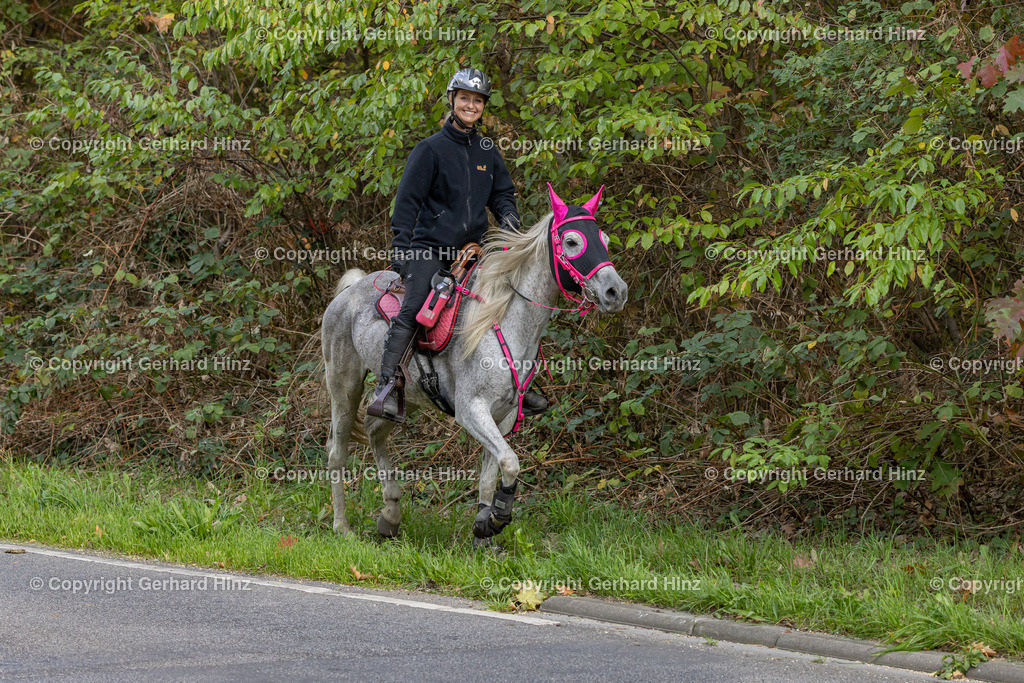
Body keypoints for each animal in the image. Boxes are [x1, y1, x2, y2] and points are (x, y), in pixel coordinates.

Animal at [321, 194, 622, 540]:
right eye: (572, 242)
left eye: (605, 240)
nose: (617, 292)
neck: (504, 319)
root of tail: (350, 290)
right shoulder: (472, 410)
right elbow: (510, 461)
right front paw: (495, 520)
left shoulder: (503, 416)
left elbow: (492, 475)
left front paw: (484, 526)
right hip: (343, 387)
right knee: (337, 452)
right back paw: (342, 527)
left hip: (406, 397)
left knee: (374, 431)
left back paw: (390, 515)